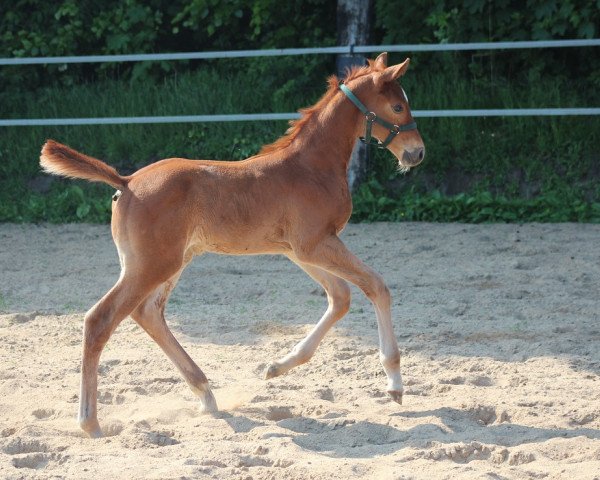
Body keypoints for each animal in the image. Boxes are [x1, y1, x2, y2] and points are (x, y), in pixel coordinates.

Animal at [39, 53, 424, 438]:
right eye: (397, 106)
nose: (417, 153)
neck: (310, 167)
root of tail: (127, 180)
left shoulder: (301, 250)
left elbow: (340, 297)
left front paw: (277, 366)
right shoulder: (315, 244)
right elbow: (376, 286)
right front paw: (394, 383)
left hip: (169, 263)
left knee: (148, 313)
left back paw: (205, 394)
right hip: (151, 265)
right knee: (101, 319)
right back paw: (90, 422)